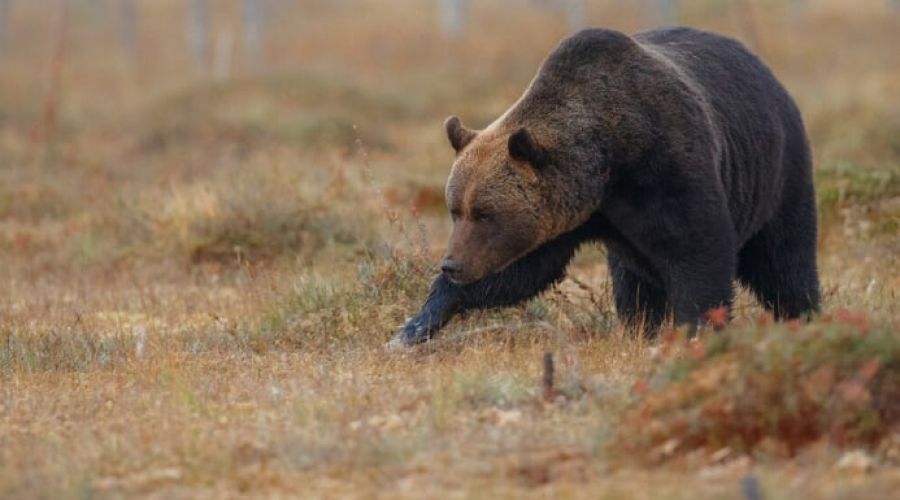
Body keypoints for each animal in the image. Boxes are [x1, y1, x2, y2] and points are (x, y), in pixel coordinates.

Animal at [392, 27, 821, 346]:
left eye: (485, 213)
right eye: (455, 209)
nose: (451, 264)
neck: (607, 166)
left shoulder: (667, 168)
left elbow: (699, 252)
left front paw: (697, 331)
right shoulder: (568, 216)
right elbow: (521, 271)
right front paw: (414, 325)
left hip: (778, 172)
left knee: (784, 259)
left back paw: (804, 315)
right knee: (633, 280)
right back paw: (638, 327)